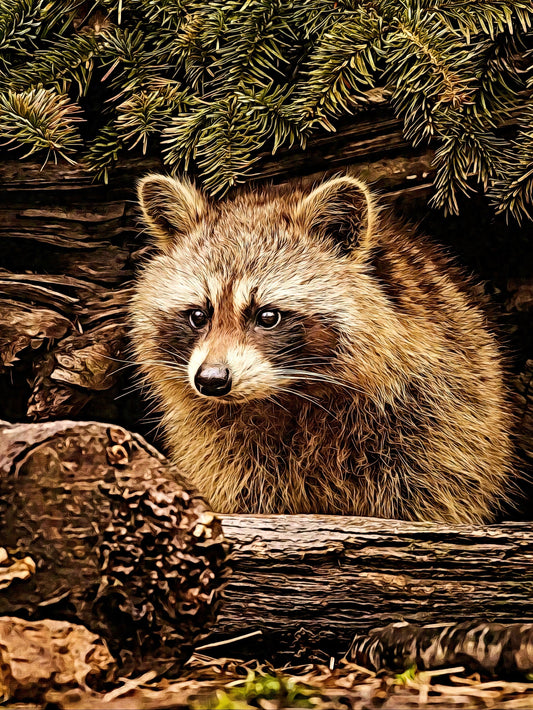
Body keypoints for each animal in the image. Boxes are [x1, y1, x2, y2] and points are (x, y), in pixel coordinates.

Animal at [130, 174, 515, 523]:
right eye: (198, 315)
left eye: (267, 316)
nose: (211, 380)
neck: (287, 395)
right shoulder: (221, 449)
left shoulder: (436, 419)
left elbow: (433, 492)